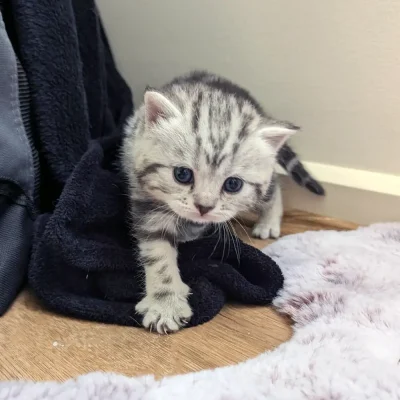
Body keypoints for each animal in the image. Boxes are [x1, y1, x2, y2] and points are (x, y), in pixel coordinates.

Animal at [120, 70, 324, 332]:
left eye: (233, 184)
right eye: (182, 174)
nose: (204, 207)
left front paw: (166, 306)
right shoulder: (145, 200)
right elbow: (159, 255)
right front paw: (166, 303)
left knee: (273, 183)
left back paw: (268, 222)